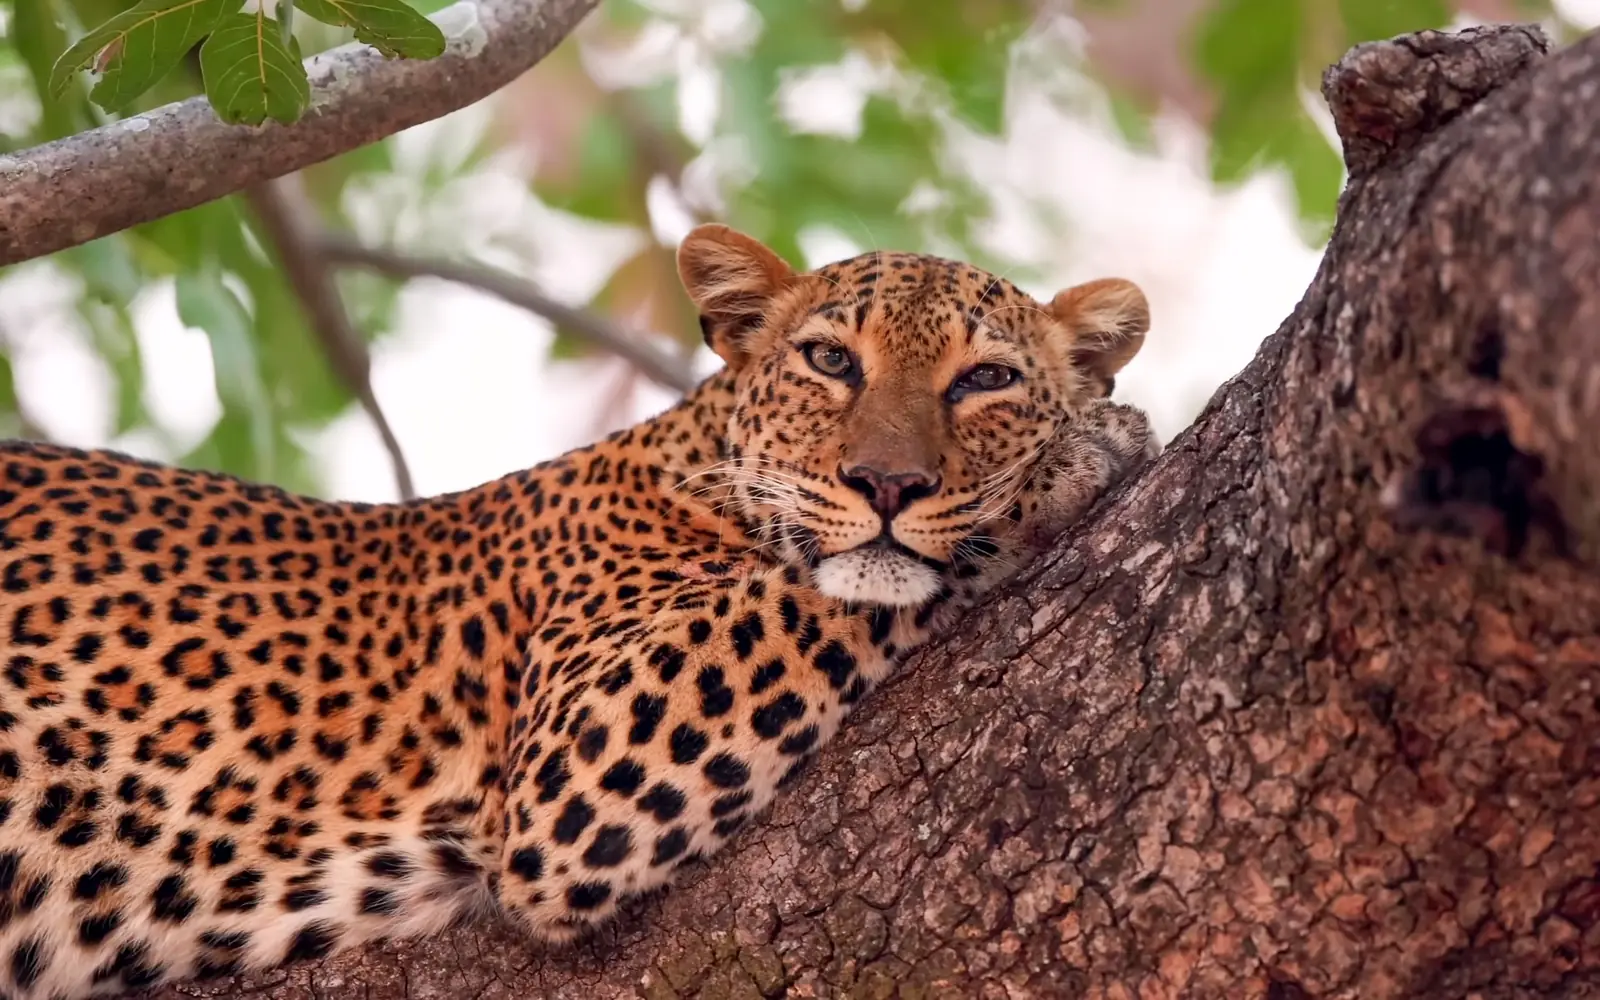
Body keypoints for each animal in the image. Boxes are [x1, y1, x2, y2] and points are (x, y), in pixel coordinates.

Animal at [0, 223, 1158, 999]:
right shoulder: (578, 761)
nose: (887, 484)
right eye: (831, 360)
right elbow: (807, 597)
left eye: (986, 379)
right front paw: (1074, 458)